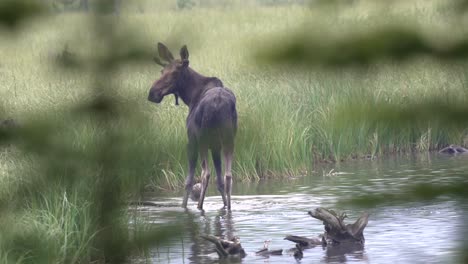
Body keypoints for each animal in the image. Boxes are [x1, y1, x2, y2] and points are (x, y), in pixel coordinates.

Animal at [148, 42, 238, 210]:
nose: (152, 93)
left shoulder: (191, 141)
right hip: (228, 140)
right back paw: (228, 208)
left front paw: (184, 207)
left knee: (205, 173)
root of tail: (218, 102)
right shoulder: (215, 146)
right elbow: (220, 181)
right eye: (162, 71)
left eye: (175, 73)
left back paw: (199, 207)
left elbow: (188, 181)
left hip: (203, 139)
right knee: (227, 176)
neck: (190, 97)